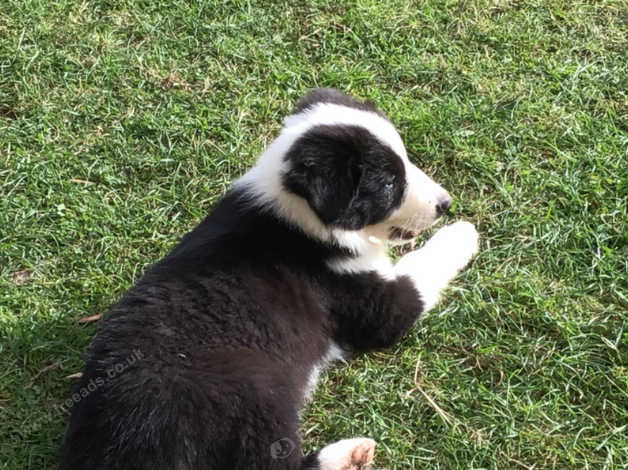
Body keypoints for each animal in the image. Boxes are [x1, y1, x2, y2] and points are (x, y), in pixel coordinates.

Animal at [60, 89, 480, 470]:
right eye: (390, 184)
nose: (446, 204)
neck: (298, 211)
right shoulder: (370, 302)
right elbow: (421, 269)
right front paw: (464, 232)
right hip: (256, 401)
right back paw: (348, 455)